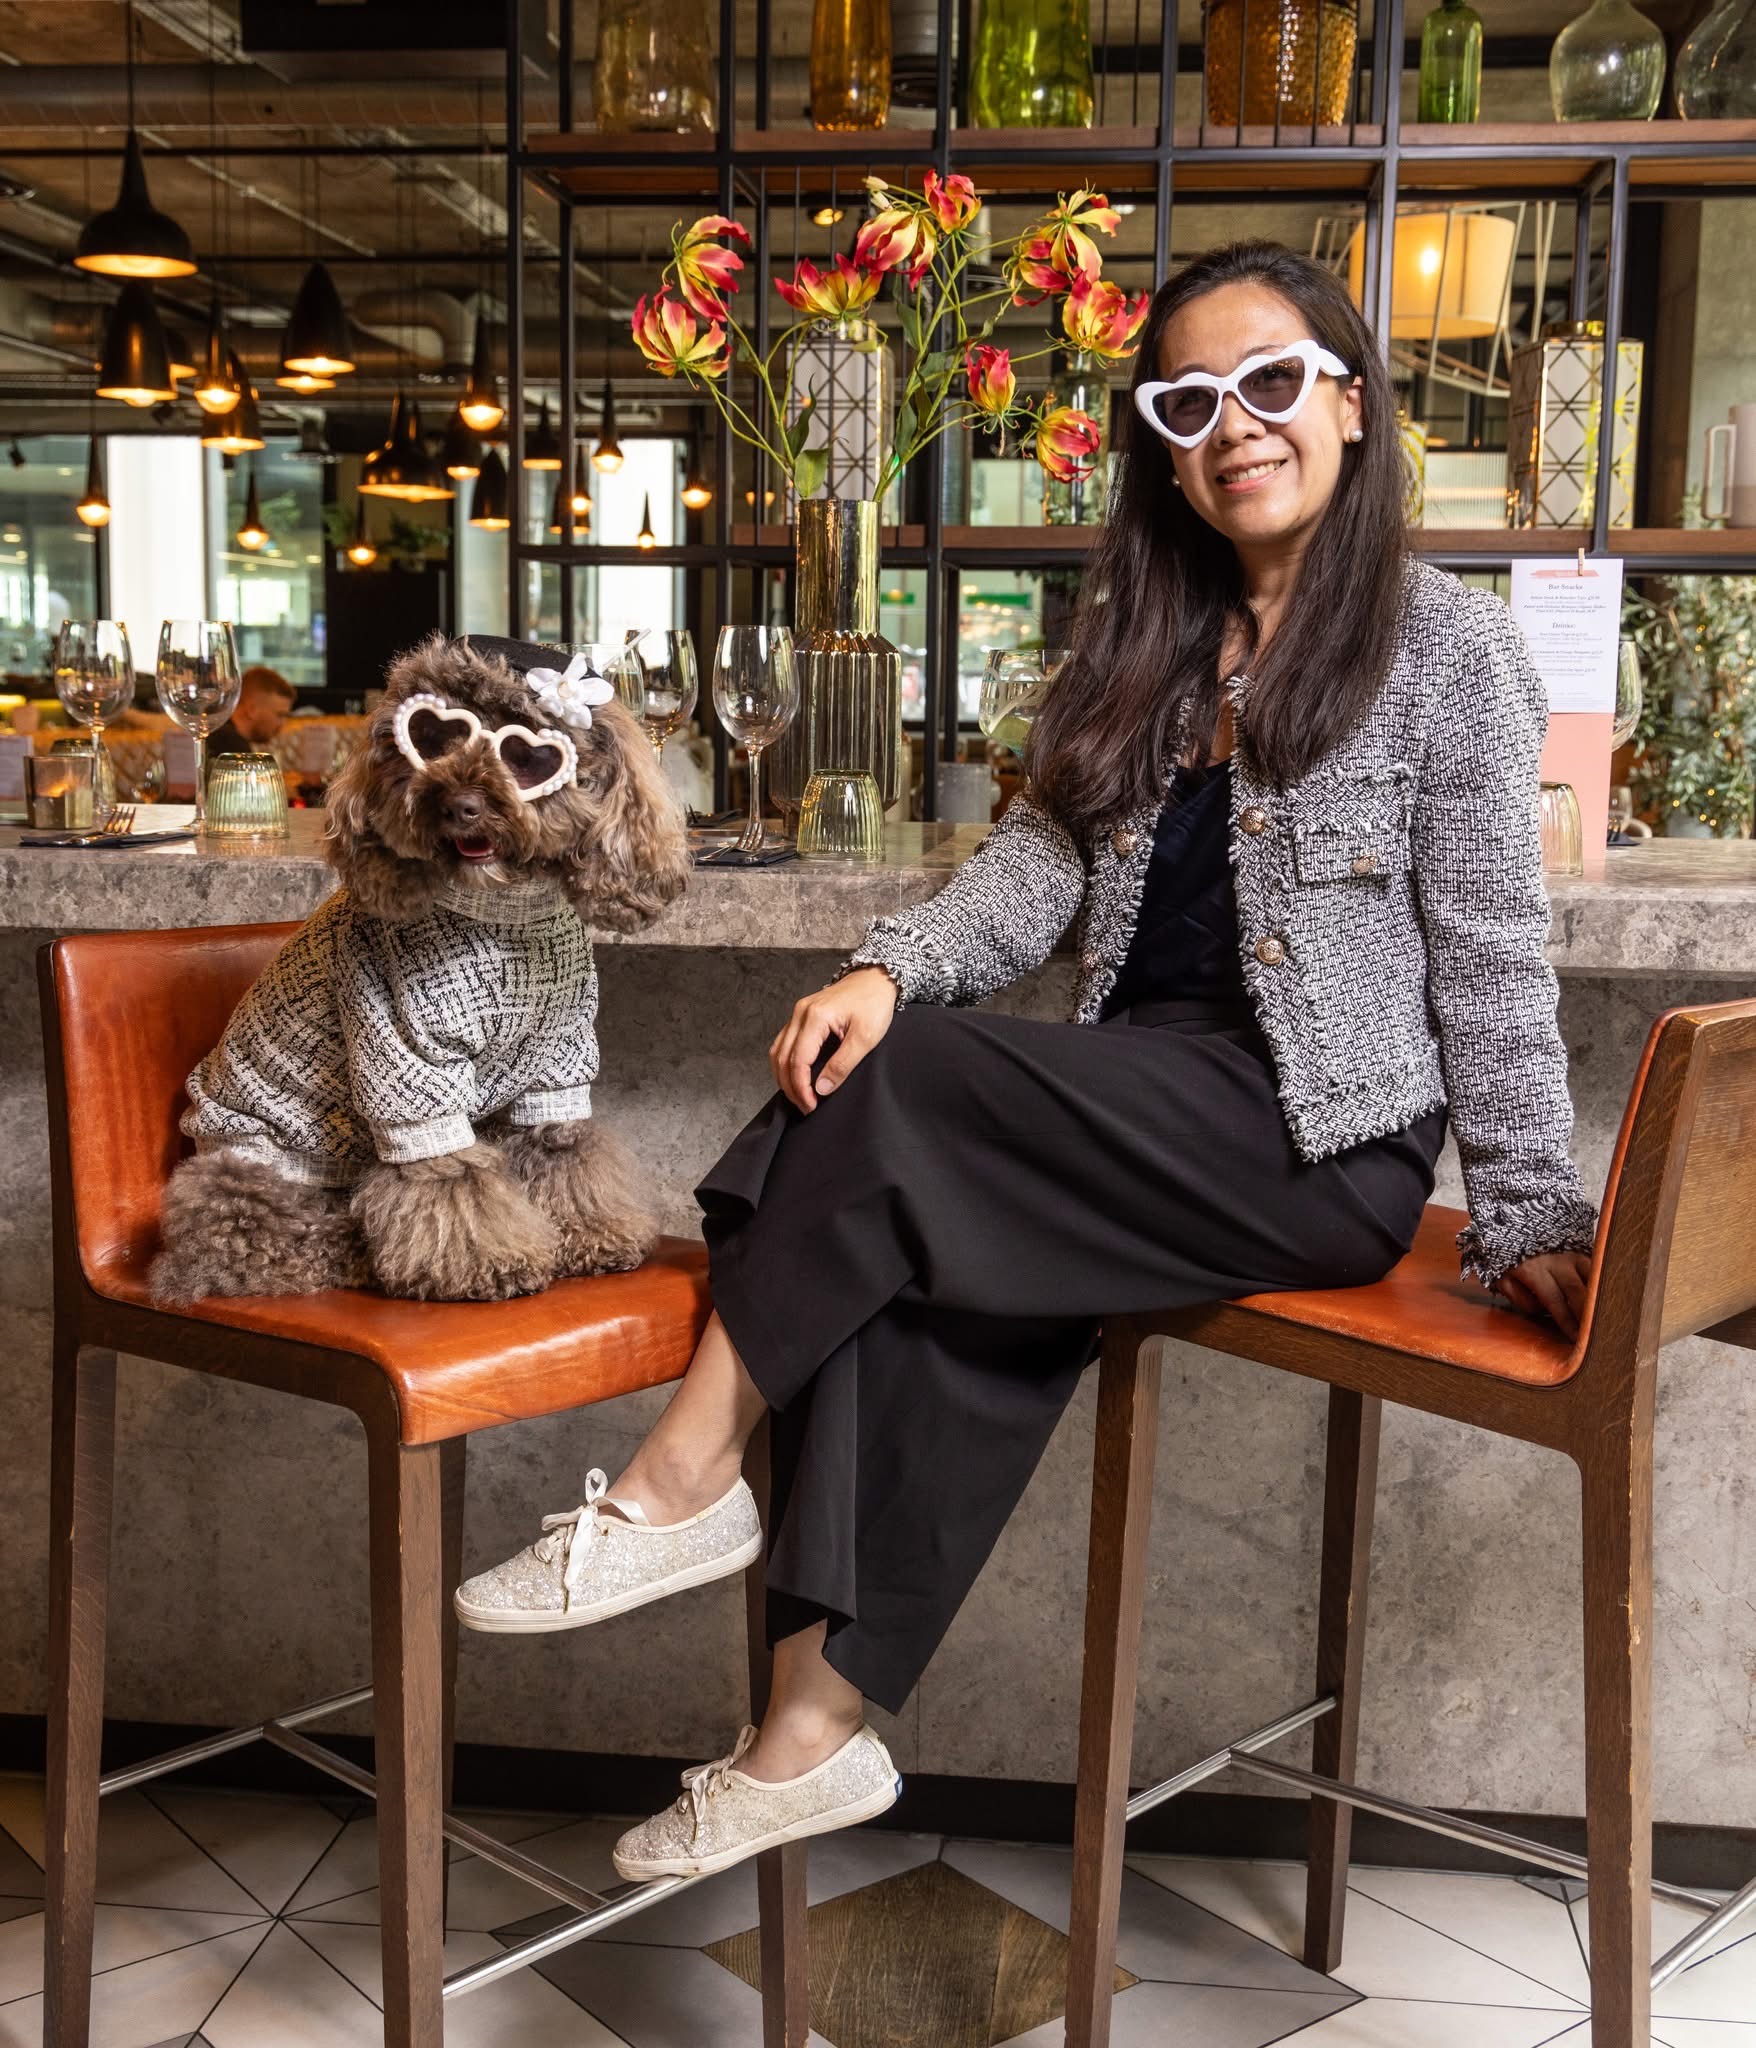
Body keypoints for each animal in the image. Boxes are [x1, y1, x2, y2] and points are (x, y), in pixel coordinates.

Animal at [149, 633, 691, 1305]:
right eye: (432, 737)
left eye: (528, 755)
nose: (461, 804)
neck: (505, 922)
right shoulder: (407, 1062)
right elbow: (450, 1184)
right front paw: (491, 1263)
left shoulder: (556, 1066)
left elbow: (566, 1155)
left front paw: (593, 1235)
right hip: (251, 1174)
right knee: (258, 1243)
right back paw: (352, 1252)